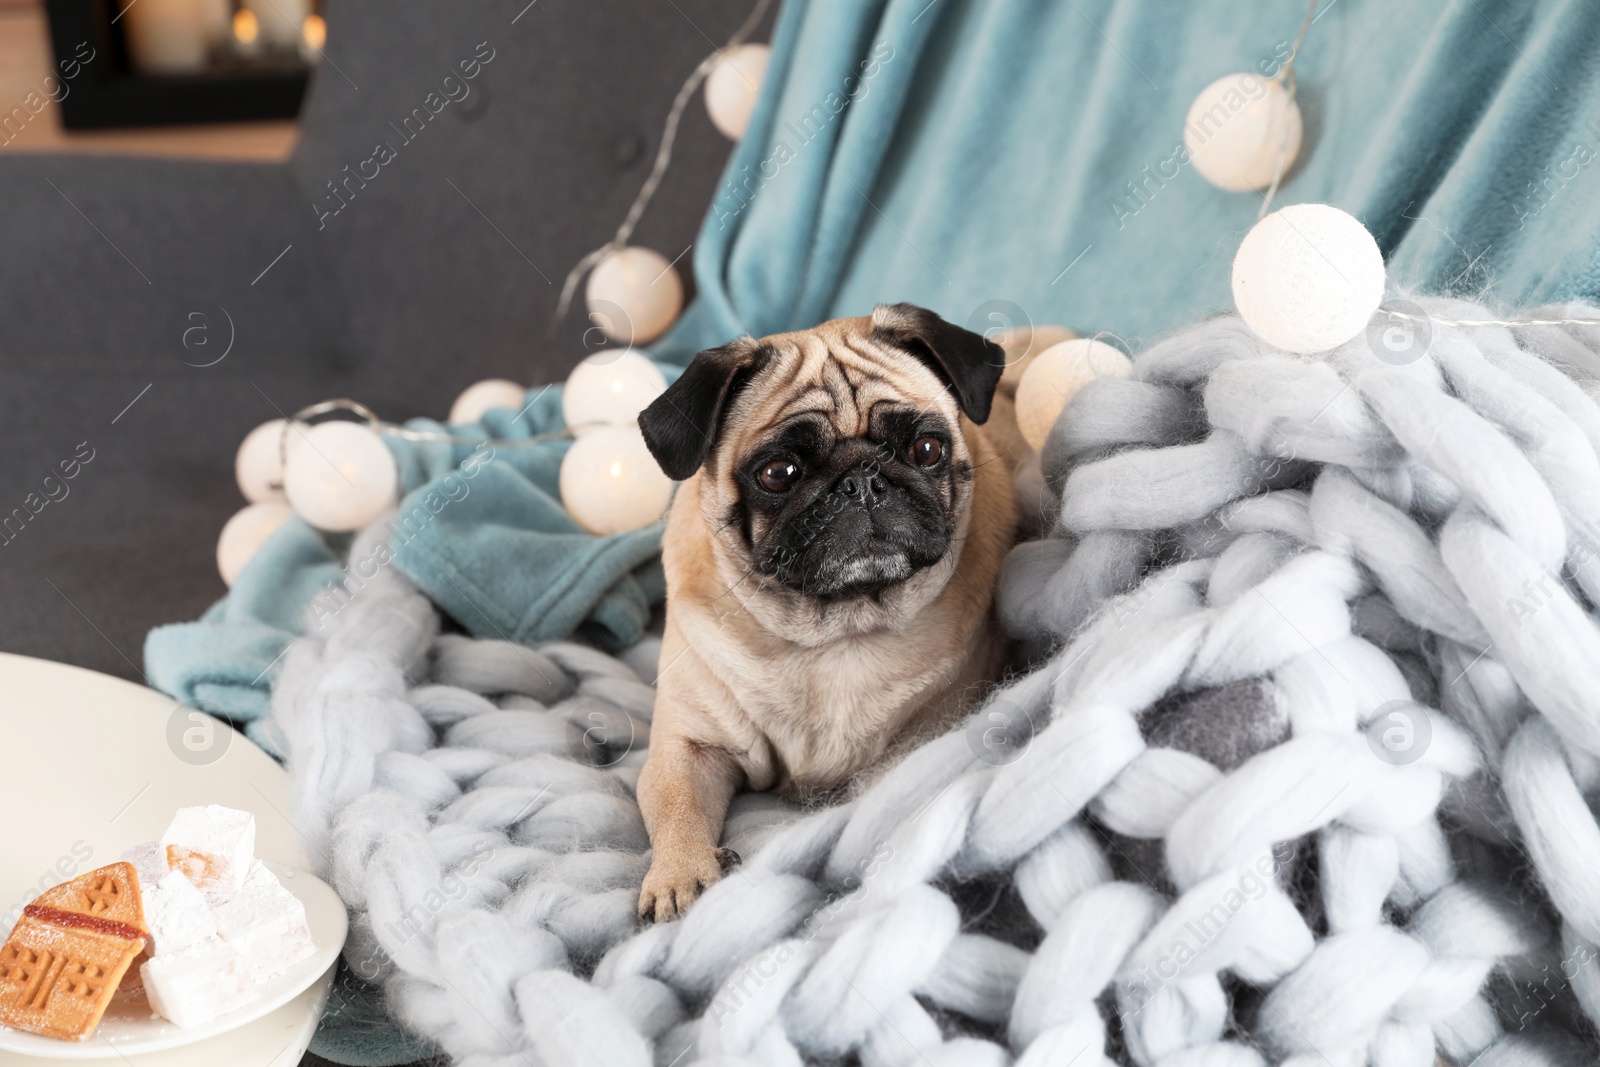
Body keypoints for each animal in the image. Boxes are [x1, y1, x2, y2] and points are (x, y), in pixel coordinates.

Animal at [627, 303, 1017, 921]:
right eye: (777, 473)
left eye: (926, 450)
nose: (862, 481)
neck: (834, 631)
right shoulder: (687, 748)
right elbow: (676, 807)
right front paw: (680, 876)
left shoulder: (918, 743)